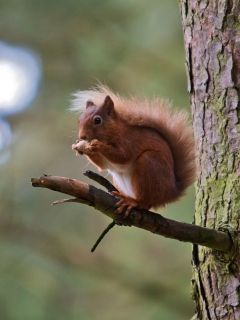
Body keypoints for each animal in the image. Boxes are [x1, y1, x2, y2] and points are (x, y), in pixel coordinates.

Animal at [71, 85, 195, 215]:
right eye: (79, 120)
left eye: (97, 120)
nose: (82, 136)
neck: (114, 130)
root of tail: (171, 192)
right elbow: (103, 165)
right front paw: (77, 147)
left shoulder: (130, 140)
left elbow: (123, 155)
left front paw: (97, 146)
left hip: (148, 165)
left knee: (146, 202)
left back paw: (132, 202)